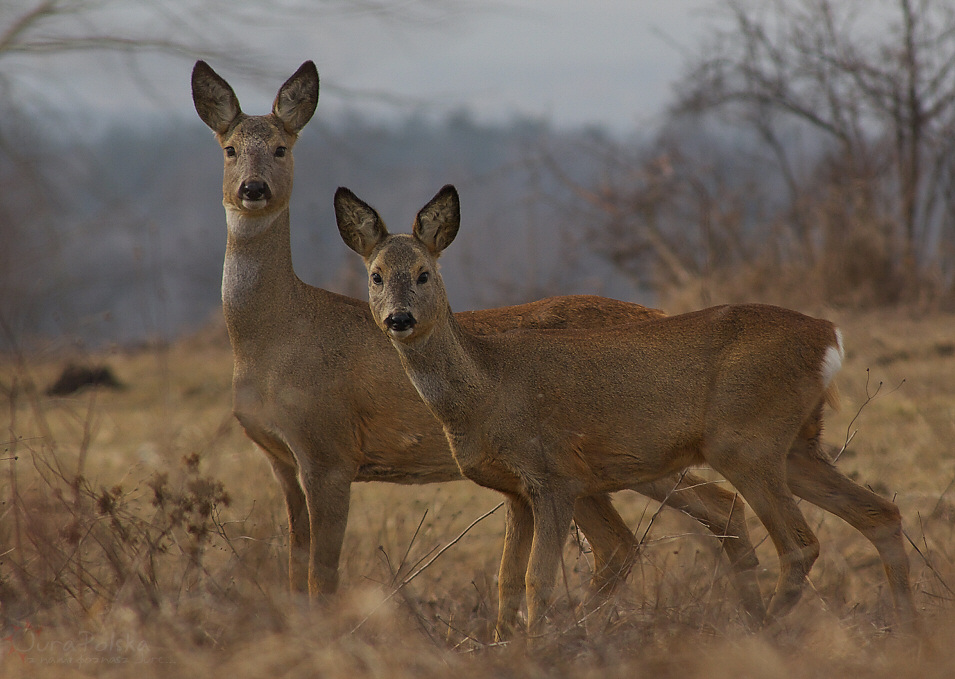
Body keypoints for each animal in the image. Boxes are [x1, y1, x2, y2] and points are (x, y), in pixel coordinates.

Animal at [194, 61, 768, 620]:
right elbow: (295, 571)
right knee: (685, 519)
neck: (275, 338)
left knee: (682, 519)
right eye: (229, 148)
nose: (253, 189)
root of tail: (657, 311)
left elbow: (321, 576)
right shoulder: (281, 459)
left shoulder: (330, 449)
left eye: (281, 147)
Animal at [336, 183, 920, 640]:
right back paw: (906, 631)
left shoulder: (555, 475)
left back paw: (765, 632)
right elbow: (506, 584)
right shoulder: (515, 491)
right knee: (879, 513)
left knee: (801, 544)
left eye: (423, 273)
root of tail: (830, 337)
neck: (486, 388)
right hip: (796, 446)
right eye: (375, 275)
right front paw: (505, 647)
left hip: (746, 443)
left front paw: (534, 648)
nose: (399, 319)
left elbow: (536, 581)